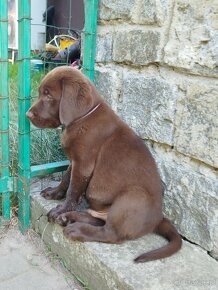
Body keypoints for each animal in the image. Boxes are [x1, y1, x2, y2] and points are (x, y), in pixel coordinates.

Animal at [26, 67, 181, 262]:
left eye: (48, 95)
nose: (28, 115)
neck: (82, 117)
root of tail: (158, 219)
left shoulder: (83, 163)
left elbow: (73, 189)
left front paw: (60, 209)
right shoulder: (74, 161)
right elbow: (66, 179)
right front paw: (55, 194)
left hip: (132, 197)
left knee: (111, 234)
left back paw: (75, 228)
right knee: (99, 220)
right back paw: (69, 218)